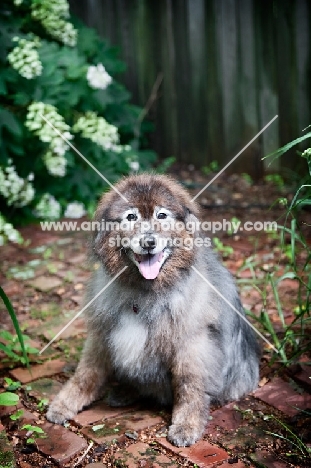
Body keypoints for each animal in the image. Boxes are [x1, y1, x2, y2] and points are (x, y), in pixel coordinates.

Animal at [47, 175, 260, 446]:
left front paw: (186, 425)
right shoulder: (102, 334)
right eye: (131, 217)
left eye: (161, 215)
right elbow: (86, 374)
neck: (146, 292)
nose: (148, 242)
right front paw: (64, 403)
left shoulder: (192, 346)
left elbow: (190, 387)